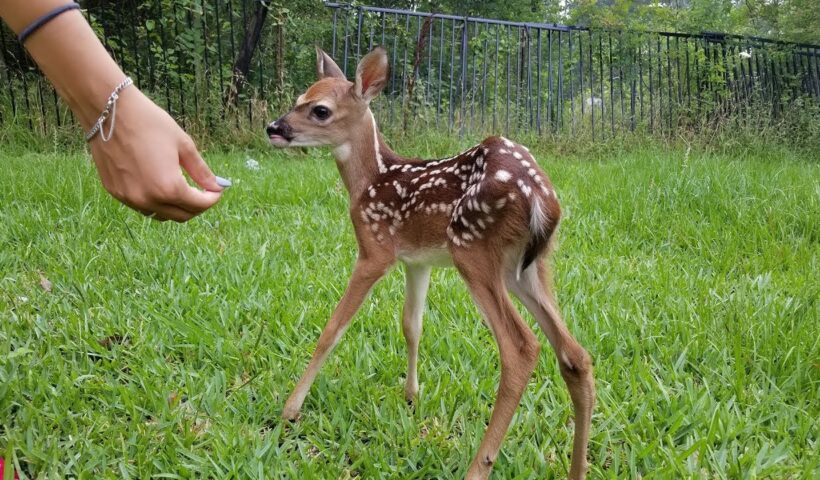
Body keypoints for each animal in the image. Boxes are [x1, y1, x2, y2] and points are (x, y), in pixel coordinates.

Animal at [270, 46, 596, 480]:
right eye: (298, 99)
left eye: (320, 110)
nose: (274, 128)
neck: (369, 182)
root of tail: (544, 198)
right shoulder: (417, 261)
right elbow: (412, 325)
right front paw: (411, 396)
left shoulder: (375, 250)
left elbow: (333, 329)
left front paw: (290, 409)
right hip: (528, 268)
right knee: (575, 355)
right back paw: (577, 470)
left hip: (472, 250)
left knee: (522, 348)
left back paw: (478, 467)